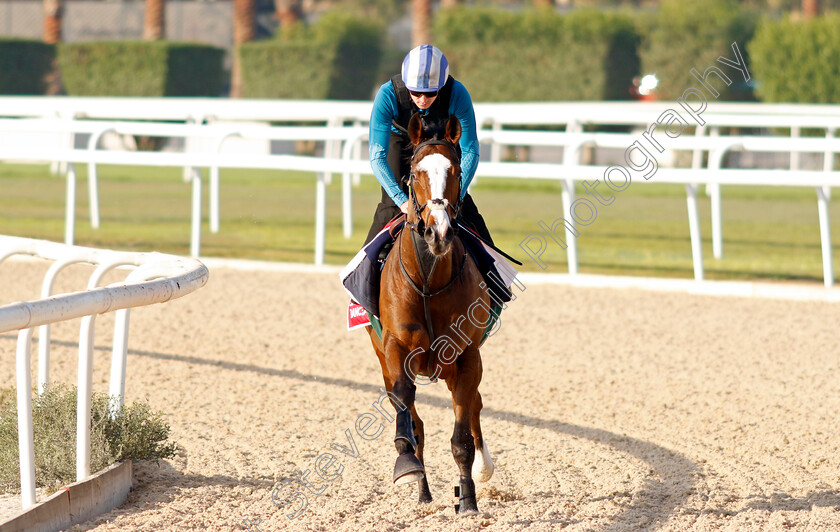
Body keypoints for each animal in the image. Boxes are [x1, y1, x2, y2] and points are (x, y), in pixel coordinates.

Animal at [366, 113, 496, 516]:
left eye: (455, 170)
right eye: (413, 172)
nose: (438, 231)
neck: (428, 280)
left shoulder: (467, 355)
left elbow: (462, 436)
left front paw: (468, 499)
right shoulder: (395, 348)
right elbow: (405, 405)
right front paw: (407, 465)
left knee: (474, 407)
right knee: (415, 417)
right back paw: (422, 489)